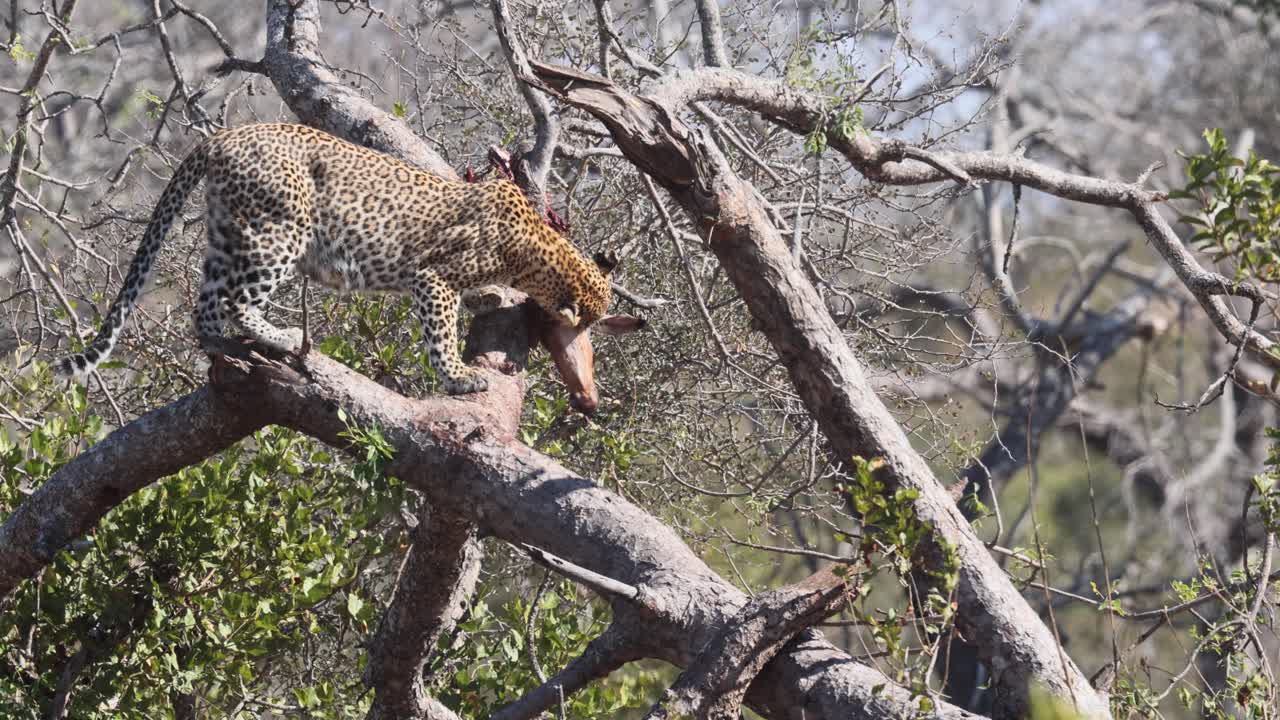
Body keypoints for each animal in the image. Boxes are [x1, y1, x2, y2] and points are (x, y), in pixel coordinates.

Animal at [57, 123, 642, 397]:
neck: (536, 250)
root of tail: (225, 134)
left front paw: (488, 298)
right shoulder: (432, 278)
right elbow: (440, 335)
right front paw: (459, 377)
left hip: (229, 233)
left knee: (205, 306)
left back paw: (224, 346)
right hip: (279, 232)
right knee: (238, 301)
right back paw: (283, 336)